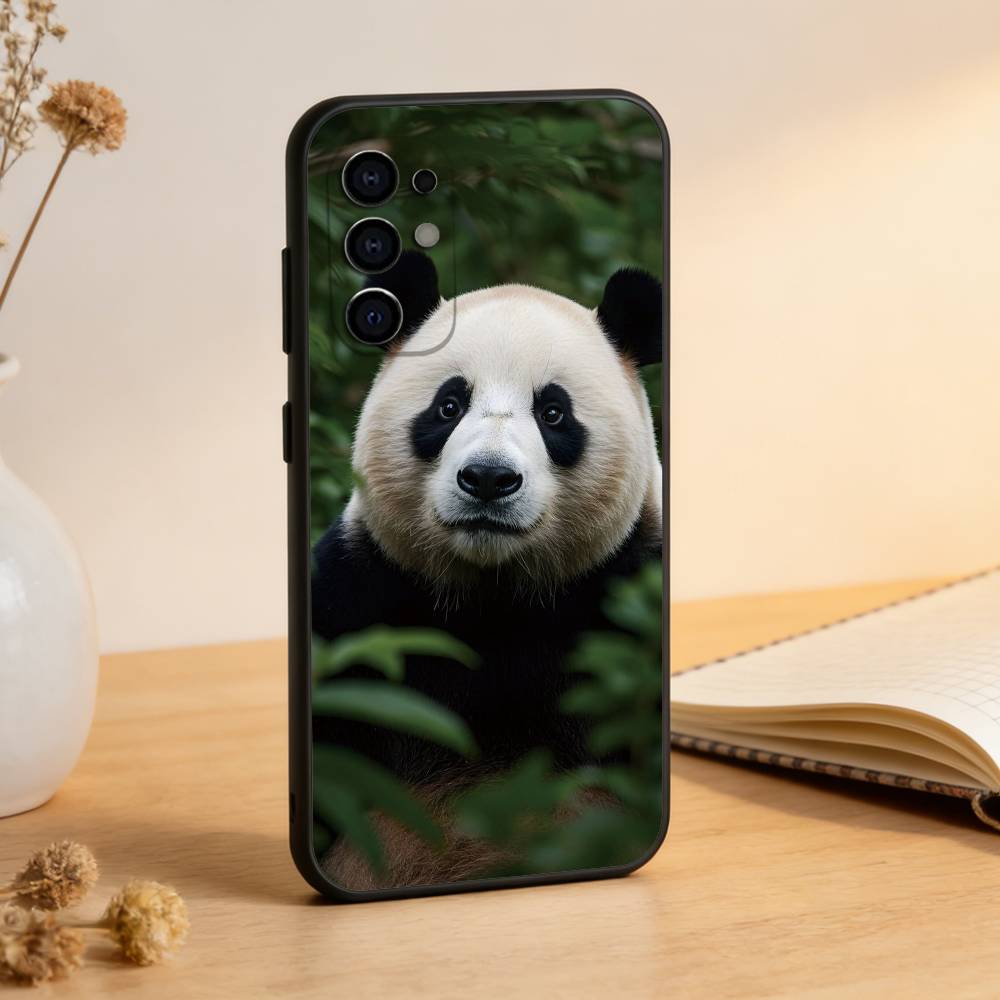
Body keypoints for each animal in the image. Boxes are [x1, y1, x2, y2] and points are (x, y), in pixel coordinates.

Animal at [312, 251, 663, 888]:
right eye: (449, 405)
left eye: (553, 412)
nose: (489, 479)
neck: (497, 595)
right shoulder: (356, 595)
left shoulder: (629, 589)